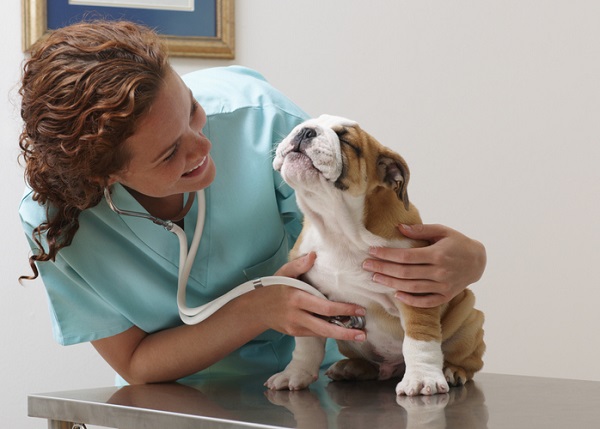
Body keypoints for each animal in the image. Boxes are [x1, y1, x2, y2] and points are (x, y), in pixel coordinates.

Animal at [270, 113, 486, 394]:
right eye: (304, 124)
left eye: (346, 140)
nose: (306, 131)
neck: (339, 228)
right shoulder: (307, 291)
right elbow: (307, 342)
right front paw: (295, 373)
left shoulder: (416, 290)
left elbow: (420, 338)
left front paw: (422, 378)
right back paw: (351, 367)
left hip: (468, 317)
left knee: (467, 360)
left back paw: (452, 371)